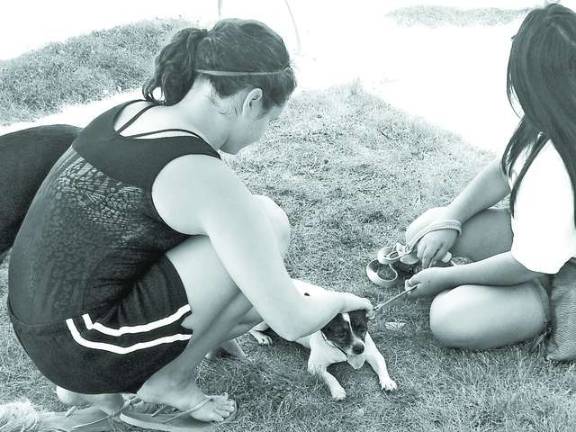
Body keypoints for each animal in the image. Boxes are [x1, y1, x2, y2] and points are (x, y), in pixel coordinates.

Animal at [248, 282, 396, 400]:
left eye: (362, 329)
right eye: (341, 334)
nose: (359, 348)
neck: (336, 350)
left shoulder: (372, 353)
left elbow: (381, 365)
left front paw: (387, 381)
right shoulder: (315, 367)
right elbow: (329, 377)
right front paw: (337, 390)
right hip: (265, 321)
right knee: (251, 329)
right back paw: (262, 337)